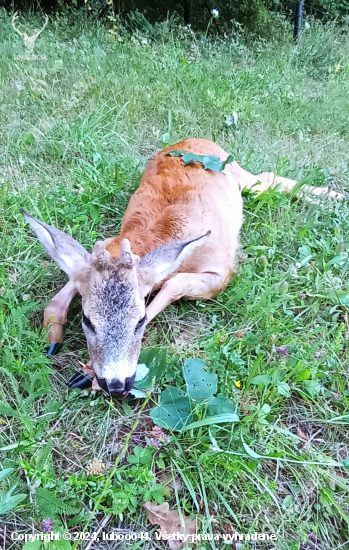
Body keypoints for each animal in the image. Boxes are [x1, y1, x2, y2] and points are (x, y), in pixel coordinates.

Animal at [22, 137, 342, 396]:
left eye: (140, 320)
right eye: (88, 321)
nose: (115, 384)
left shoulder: (222, 273)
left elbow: (174, 283)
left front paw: (87, 373)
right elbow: (62, 293)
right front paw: (53, 341)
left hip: (240, 175)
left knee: (267, 178)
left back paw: (334, 197)